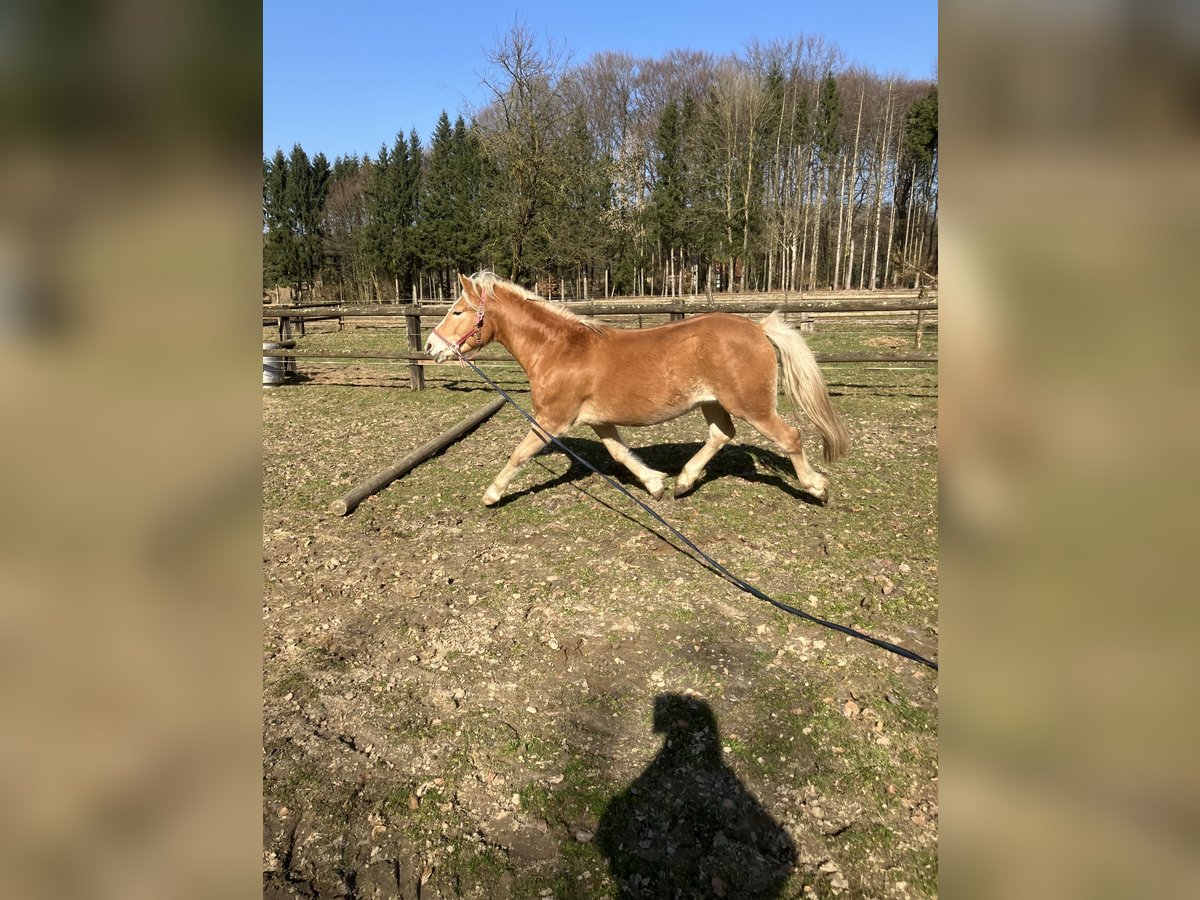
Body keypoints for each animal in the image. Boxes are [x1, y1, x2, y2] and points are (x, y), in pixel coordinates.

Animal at [426, 272, 850, 507]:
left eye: (457, 311)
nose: (430, 347)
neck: (559, 349)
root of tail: (758, 328)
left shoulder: (553, 421)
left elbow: (518, 454)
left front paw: (491, 494)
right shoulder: (598, 420)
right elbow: (619, 453)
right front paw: (655, 484)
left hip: (752, 406)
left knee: (790, 437)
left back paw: (816, 488)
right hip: (712, 403)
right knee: (721, 435)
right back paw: (683, 481)